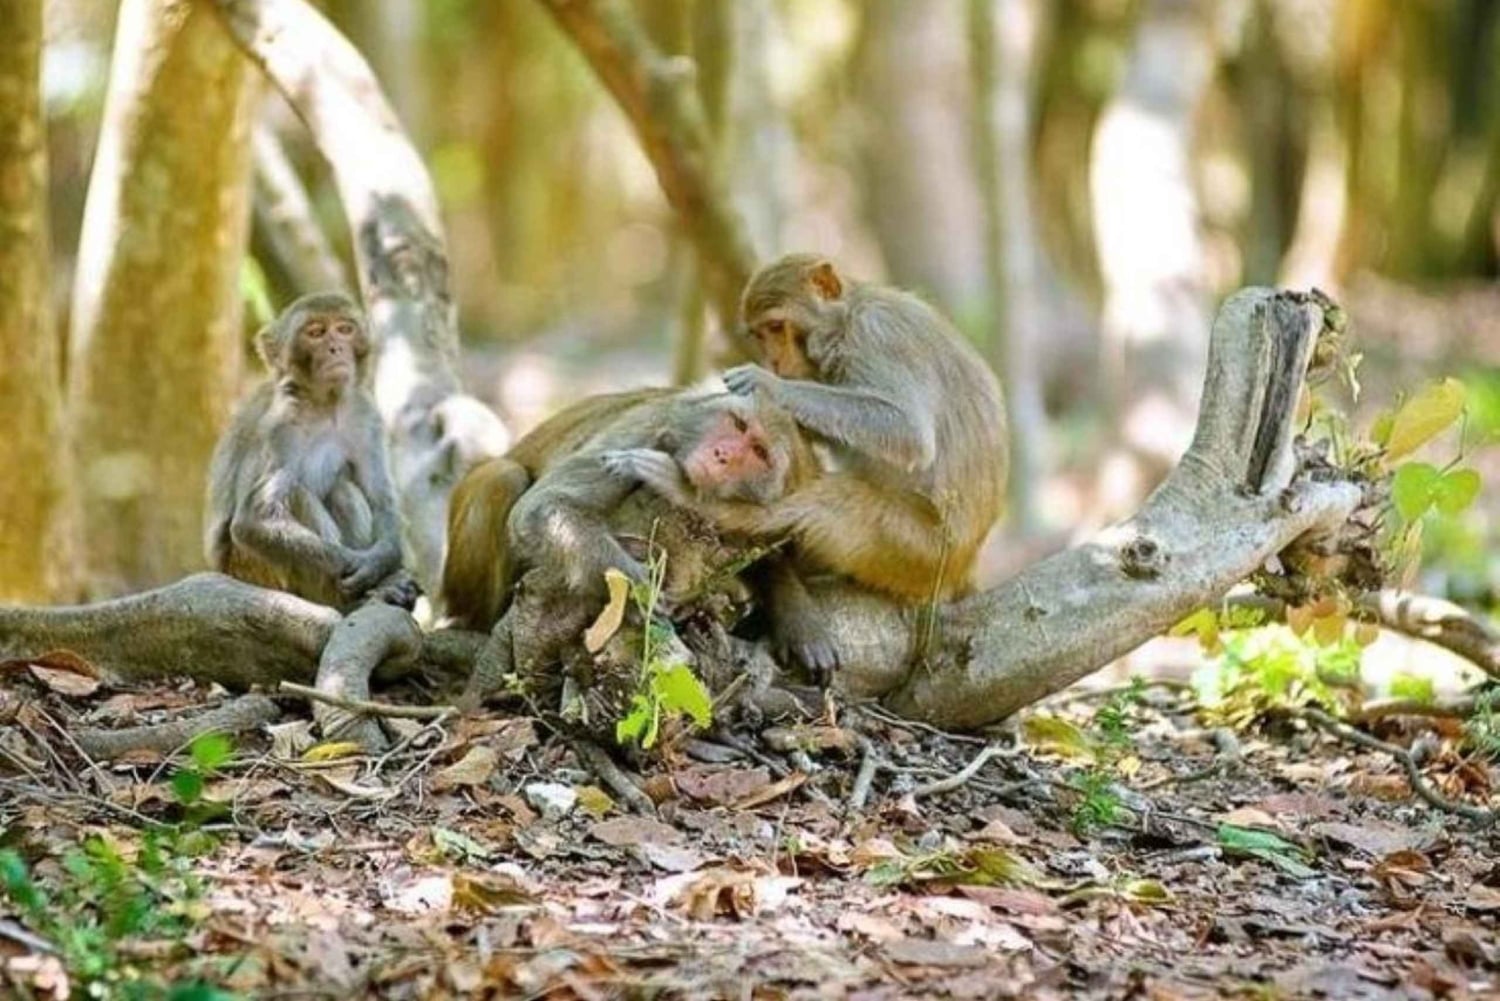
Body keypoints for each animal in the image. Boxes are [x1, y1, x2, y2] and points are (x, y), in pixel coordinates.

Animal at [205, 291, 412, 612]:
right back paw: (352, 600)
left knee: (343, 490)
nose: (335, 348)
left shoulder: (364, 415)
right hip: (255, 572)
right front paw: (356, 565)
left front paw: (378, 563)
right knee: (296, 493)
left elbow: (381, 502)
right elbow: (253, 520)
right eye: (315, 333)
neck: (324, 405)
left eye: (344, 329)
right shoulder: (279, 425)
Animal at [602, 254, 1008, 675]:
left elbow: (907, 432)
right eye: (762, 334)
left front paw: (766, 384)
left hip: (912, 548)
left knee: (828, 500)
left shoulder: (877, 333)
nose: (775, 361)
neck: (848, 318)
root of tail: (963, 565)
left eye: (777, 327)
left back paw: (692, 496)